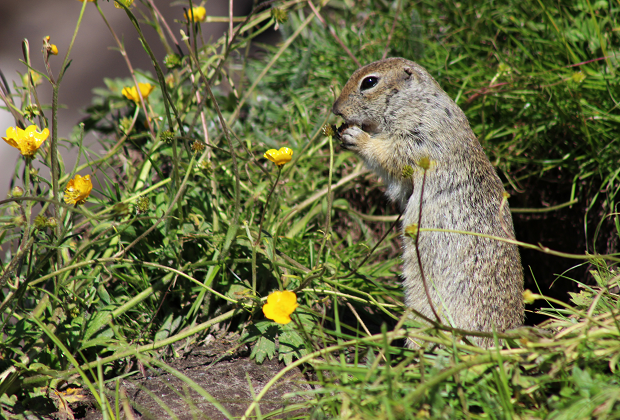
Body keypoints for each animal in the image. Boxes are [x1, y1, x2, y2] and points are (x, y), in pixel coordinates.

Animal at [334, 57, 524, 346]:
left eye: (369, 82)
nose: (336, 109)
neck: (416, 102)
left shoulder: (417, 138)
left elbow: (389, 155)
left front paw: (355, 137)